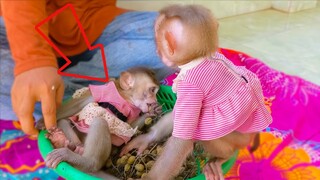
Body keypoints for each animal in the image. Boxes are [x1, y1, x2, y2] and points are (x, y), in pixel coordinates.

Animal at [121, 4, 272, 180]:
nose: (157, 50)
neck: (197, 59)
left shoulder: (191, 88)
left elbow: (182, 138)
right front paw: (145, 139)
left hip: (237, 139)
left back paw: (223, 157)